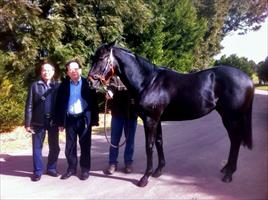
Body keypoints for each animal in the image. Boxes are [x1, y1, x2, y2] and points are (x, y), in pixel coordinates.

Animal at [88, 42, 253, 188]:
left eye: (101, 58)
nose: (90, 82)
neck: (148, 82)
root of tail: (248, 79)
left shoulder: (150, 120)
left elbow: (149, 146)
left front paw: (145, 178)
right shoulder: (158, 120)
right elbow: (159, 142)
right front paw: (158, 171)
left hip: (231, 118)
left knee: (236, 140)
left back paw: (229, 174)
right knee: (234, 140)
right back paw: (227, 169)